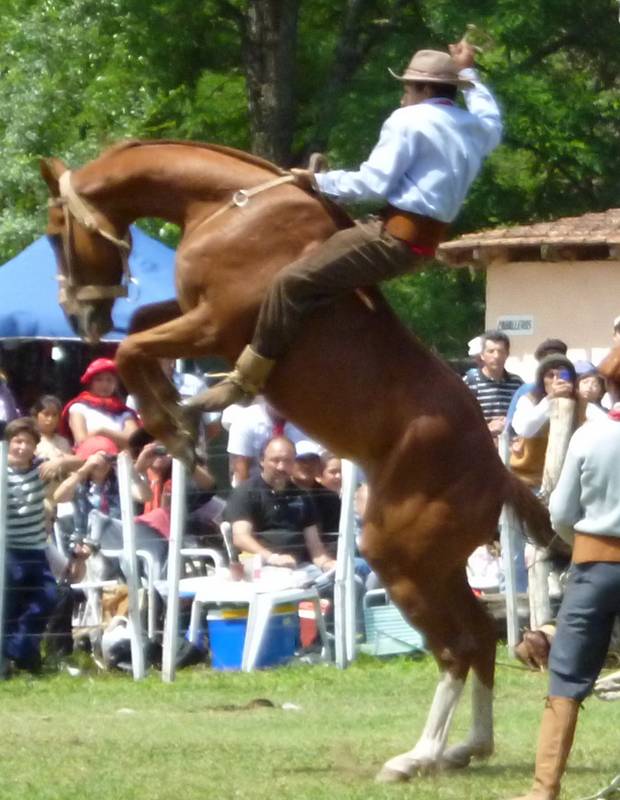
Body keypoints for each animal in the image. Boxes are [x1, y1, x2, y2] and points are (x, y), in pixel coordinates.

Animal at [41, 141, 548, 784]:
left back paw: (419, 755)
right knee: (480, 639)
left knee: (458, 647)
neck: (226, 208)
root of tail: (496, 472)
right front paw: (175, 413)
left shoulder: (213, 323)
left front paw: (177, 425)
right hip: (436, 564)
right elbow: (139, 329)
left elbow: (133, 344)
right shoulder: (189, 313)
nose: (80, 320)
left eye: (56, 231)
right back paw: (466, 747)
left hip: (402, 558)